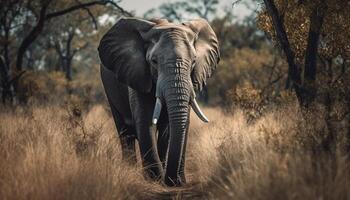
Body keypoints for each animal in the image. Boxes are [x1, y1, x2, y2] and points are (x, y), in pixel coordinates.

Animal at [98, 16, 219, 187]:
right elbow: (145, 122)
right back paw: (130, 170)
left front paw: (172, 182)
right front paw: (154, 180)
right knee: (125, 133)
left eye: (194, 61)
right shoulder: (137, 76)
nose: (174, 181)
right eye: (154, 61)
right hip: (110, 91)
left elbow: (170, 128)